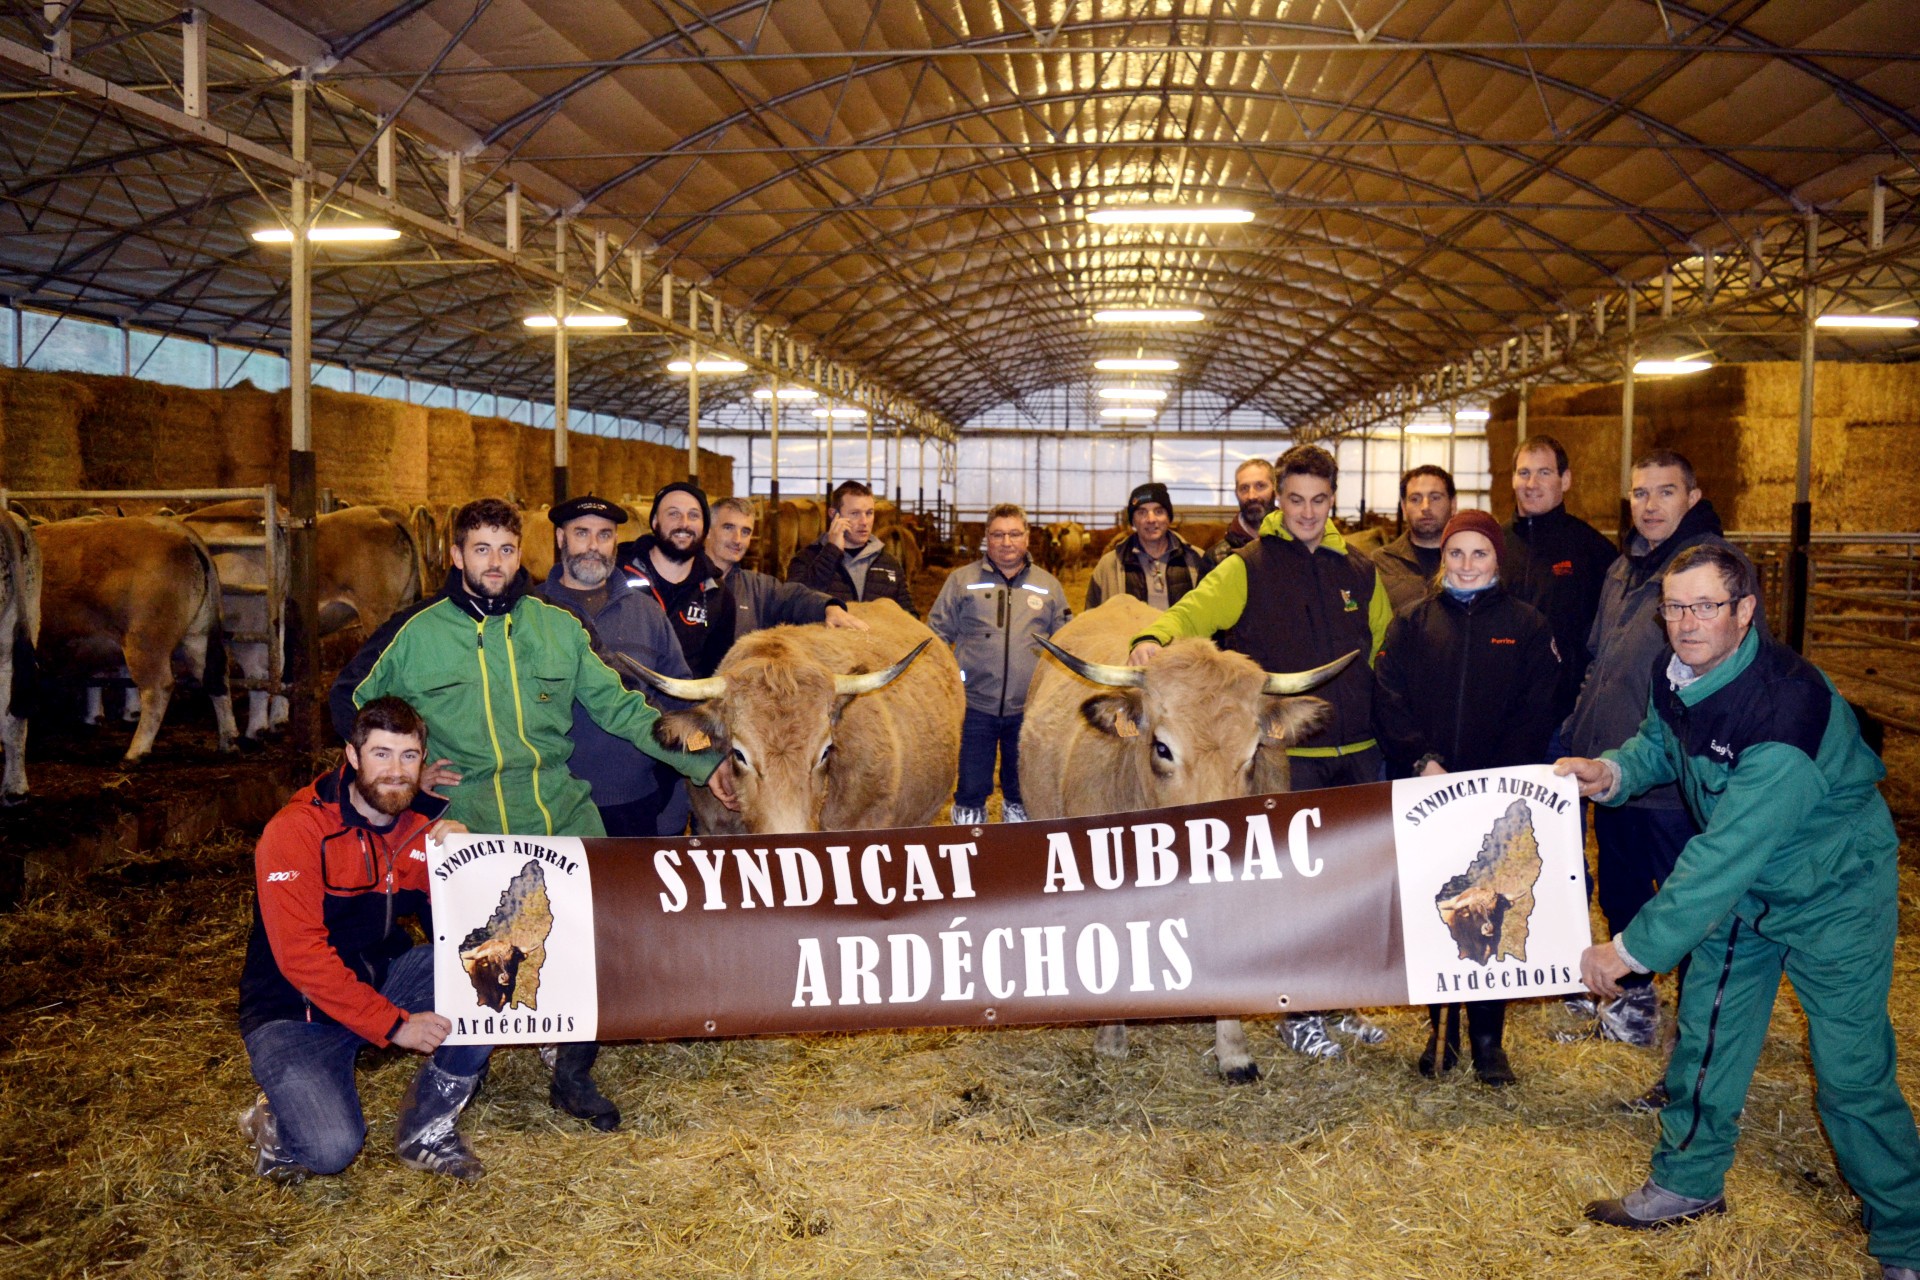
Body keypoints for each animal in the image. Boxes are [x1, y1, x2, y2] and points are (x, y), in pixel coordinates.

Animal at [36, 514, 238, 759]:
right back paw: (229, 742)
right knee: (215, 677)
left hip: (145, 643)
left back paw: (136, 752)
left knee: (158, 688)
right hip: (198, 635)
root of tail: (174, 529)